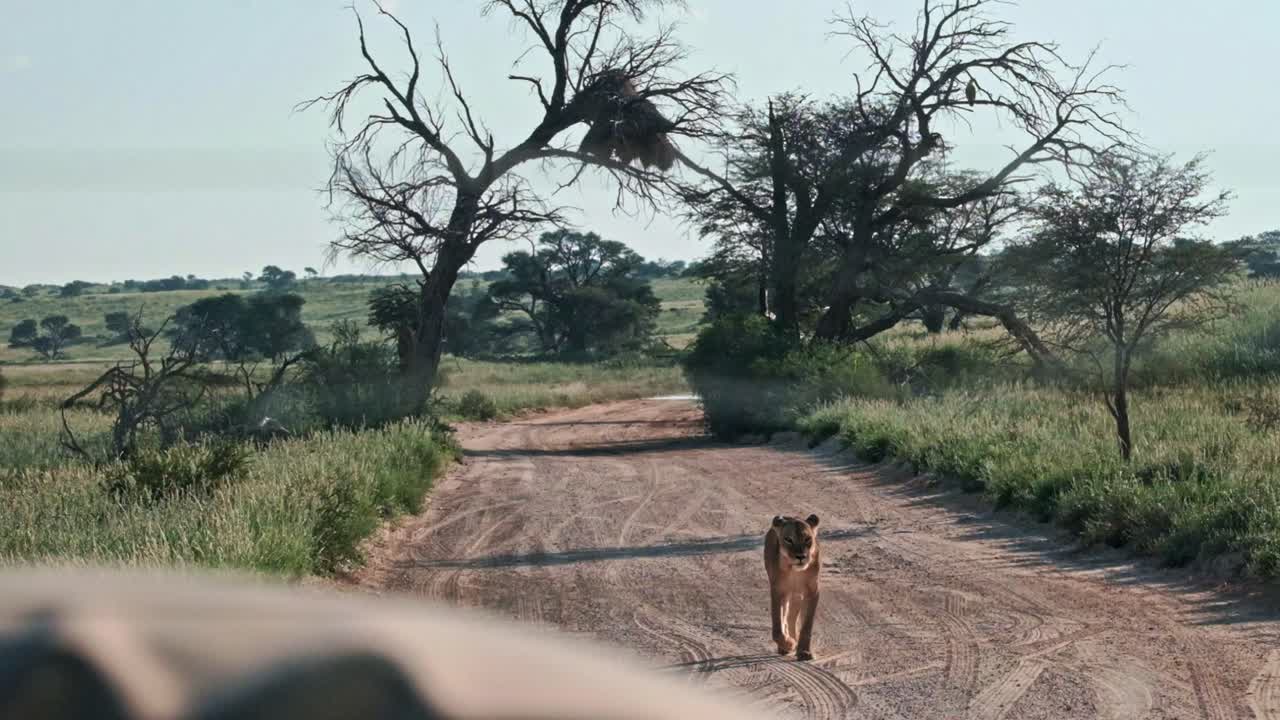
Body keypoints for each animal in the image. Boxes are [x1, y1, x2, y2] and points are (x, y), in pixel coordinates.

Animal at [764, 514, 821, 660]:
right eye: (788, 540)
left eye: (807, 539)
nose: (800, 556)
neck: (795, 572)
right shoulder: (778, 592)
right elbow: (777, 629)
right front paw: (789, 644)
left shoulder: (812, 592)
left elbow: (806, 626)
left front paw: (804, 651)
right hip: (789, 595)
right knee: (786, 618)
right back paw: (786, 645)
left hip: (796, 595)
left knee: (792, 618)